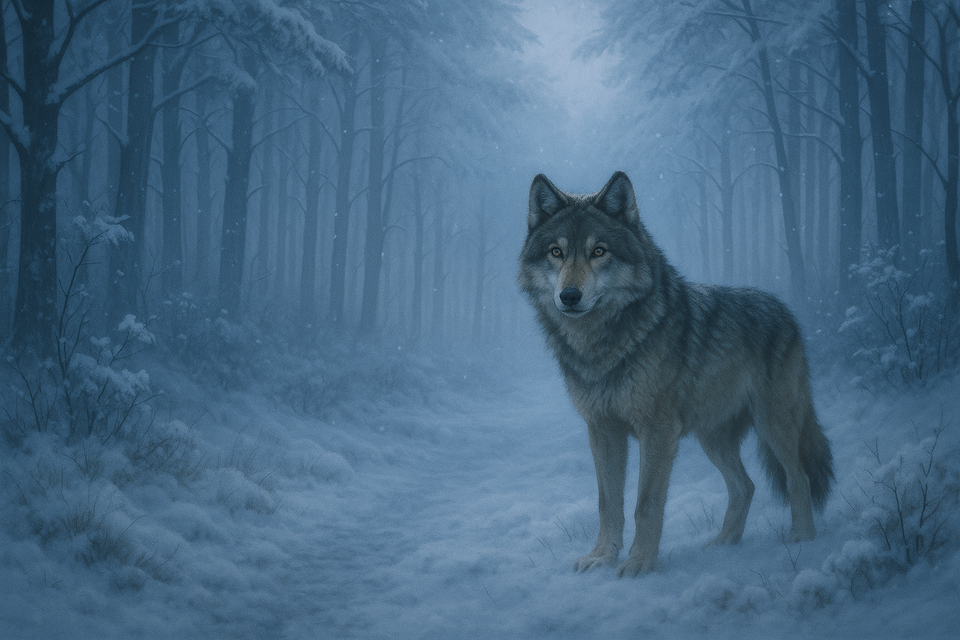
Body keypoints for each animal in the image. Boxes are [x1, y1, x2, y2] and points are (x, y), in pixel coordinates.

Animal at [518, 171, 834, 578]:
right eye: (556, 252)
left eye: (599, 251)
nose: (569, 296)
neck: (604, 343)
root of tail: (785, 310)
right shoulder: (603, 431)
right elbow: (608, 503)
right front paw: (602, 556)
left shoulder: (657, 431)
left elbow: (646, 503)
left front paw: (639, 563)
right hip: (712, 437)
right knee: (745, 486)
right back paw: (723, 545)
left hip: (772, 425)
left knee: (799, 477)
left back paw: (802, 539)